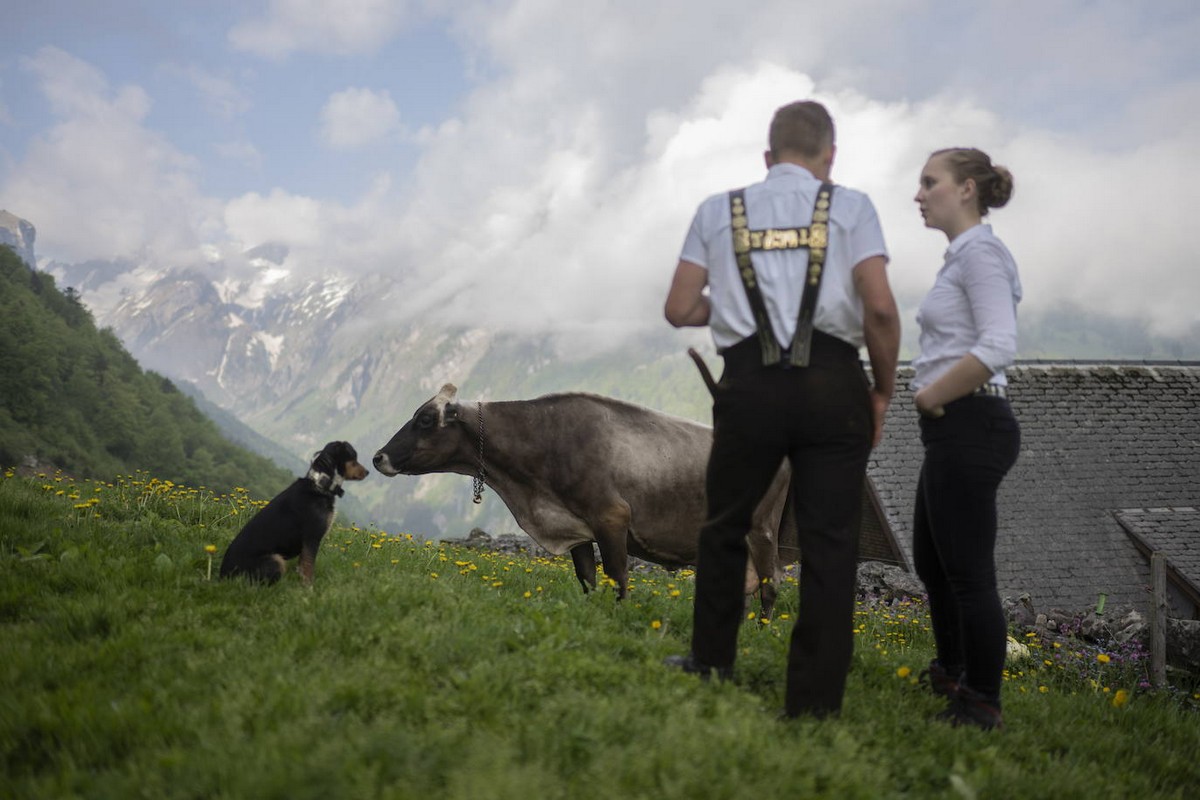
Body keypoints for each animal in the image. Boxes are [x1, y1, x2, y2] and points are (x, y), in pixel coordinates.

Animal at [220, 441, 367, 585]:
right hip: (275, 559)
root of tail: (223, 576)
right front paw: (308, 589)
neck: (320, 485)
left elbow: (302, 567)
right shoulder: (311, 538)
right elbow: (308, 569)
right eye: (354, 457)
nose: (367, 472)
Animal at [369, 383, 792, 618]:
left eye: (425, 419)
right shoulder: (575, 527)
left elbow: (617, 576)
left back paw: (762, 631)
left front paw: (618, 618)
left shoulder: (612, 517)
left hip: (763, 530)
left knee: (770, 586)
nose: (377, 457)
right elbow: (587, 579)